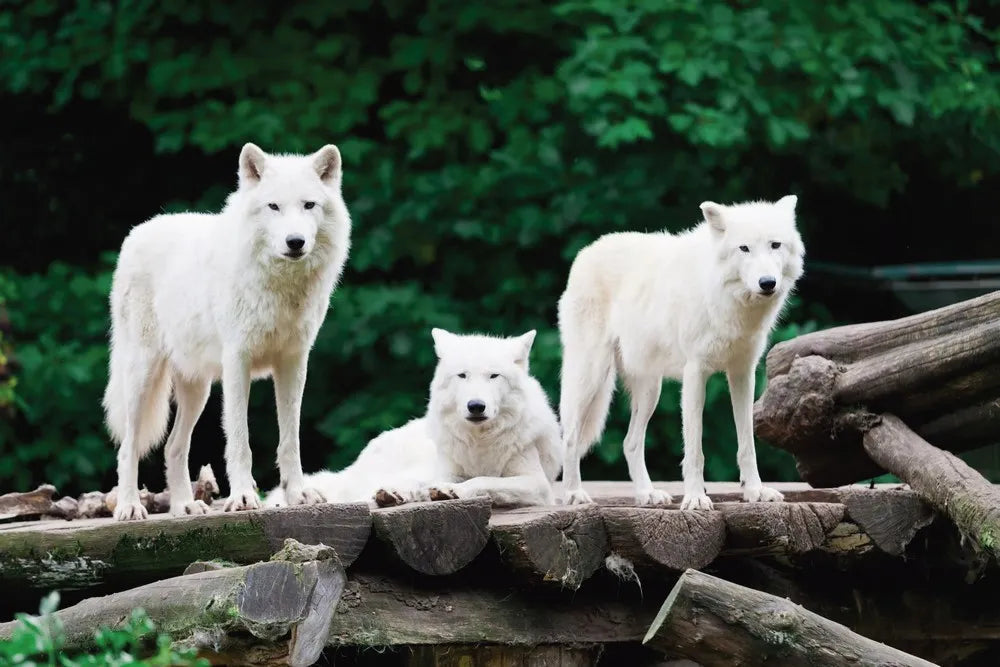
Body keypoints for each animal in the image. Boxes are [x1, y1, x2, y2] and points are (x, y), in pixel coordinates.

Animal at [103, 143, 351, 521]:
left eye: (309, 205)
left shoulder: (294, 362)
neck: (280, 287)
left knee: (173, 447)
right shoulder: (238, 361)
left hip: (198, 389)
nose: (295, 241)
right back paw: (130, 507)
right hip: (141, 378)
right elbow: (239, 439)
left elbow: (290, 439)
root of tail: (137, 232)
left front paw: (298, 494)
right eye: (273, 206)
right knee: (128, 447)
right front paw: (243, 497)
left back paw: (185, 507)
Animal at [265, 329, 563, 508]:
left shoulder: (536, 484)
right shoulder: (447, 469)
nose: (476, 406)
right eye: (463, 375)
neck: (480, 444)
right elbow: (458, 480)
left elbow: (483, 482)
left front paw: (451, 491)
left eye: (493, 376)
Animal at [558, 196, 805, 510]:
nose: (767, 282)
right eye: (744, 248)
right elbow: (695, 451)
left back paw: (647, 494)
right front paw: (696, 498)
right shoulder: (695, 373)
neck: (727, 300)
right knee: (570, 438)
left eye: (775, 245)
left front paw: (755, 491)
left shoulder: (742, 373)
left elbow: (747, 445)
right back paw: (574, 494)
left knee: (630, 442)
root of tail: (587, 251)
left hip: (650, 390)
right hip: (591, 376)